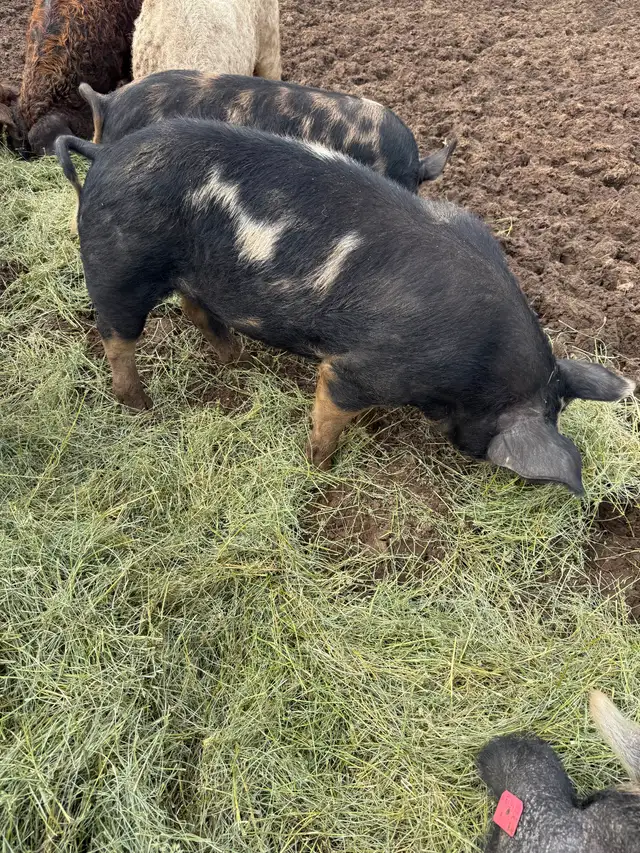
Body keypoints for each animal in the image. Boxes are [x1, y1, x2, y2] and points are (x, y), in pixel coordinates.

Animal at [54, 119, 635, 493]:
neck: (478, 363)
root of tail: (104, 154)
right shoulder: (360, 367)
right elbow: (331, 413)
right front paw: (319, 468)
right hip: (118, 265)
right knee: (116, 335)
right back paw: (139, 407)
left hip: (193, 274)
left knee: (196, 309)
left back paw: (236, 362)